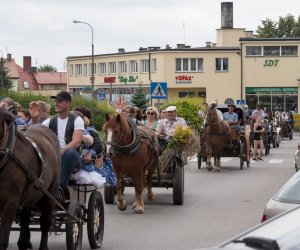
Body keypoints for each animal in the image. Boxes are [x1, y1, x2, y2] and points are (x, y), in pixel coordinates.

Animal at [0, 108, 60, 250]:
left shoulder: (10, 203)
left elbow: (3, 240)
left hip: (49, 194)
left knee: (45, 222)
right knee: (25, 218)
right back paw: (23, 242)